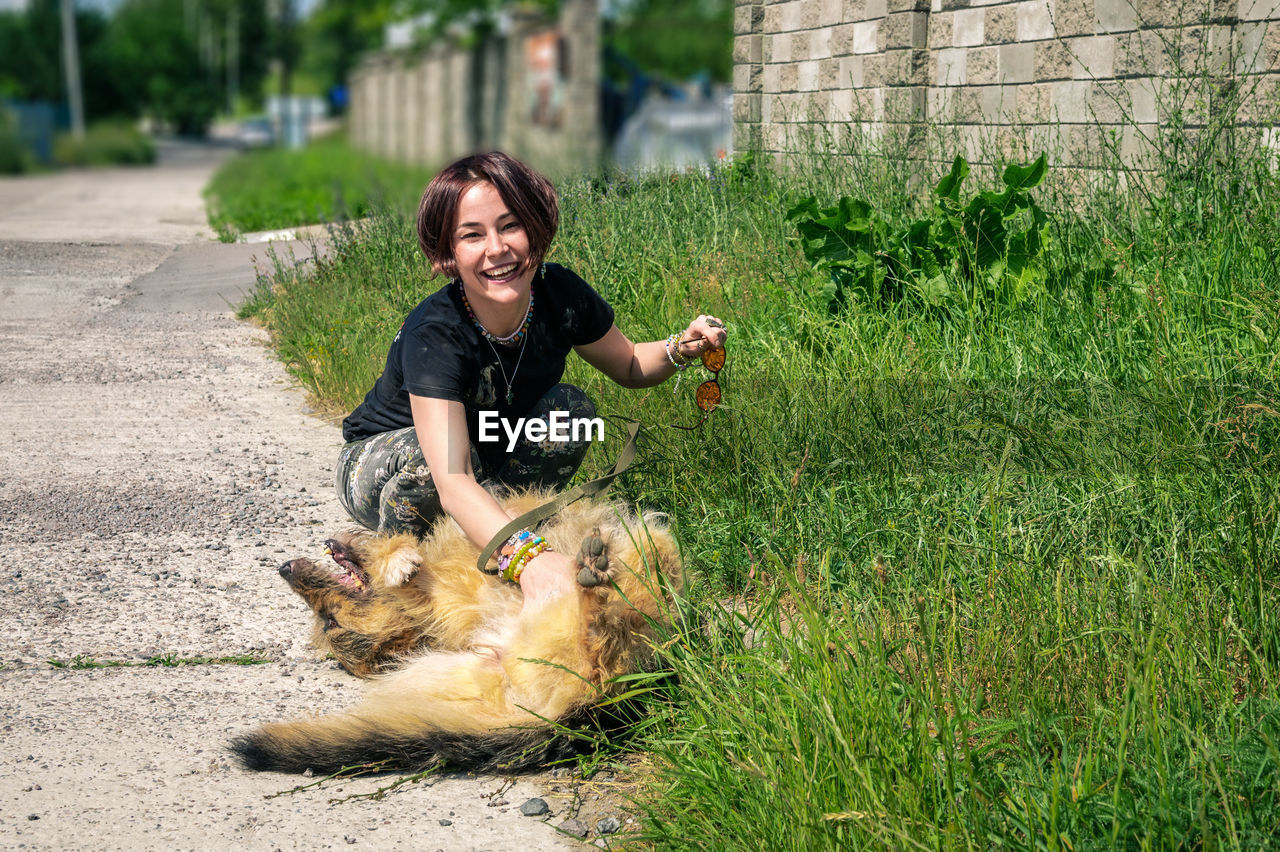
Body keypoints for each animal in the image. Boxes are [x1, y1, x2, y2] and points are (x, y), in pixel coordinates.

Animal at [234, 488, 686, 772]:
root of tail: (584, 714)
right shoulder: (444, 599)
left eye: (327, 621)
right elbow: (408, 574)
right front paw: (398, 561)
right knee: (606, 641)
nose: (283, 568)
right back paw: (595, 590)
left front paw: (393, 558)